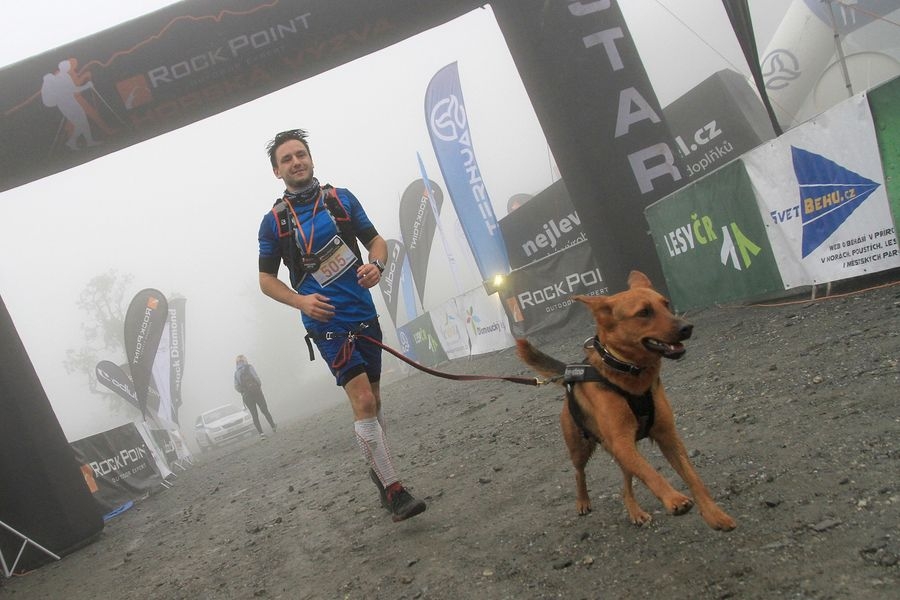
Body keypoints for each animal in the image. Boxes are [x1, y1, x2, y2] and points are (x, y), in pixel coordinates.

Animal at [516, 272, 736, 528]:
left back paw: (634, 510)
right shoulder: (622, 442)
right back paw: (583, 501)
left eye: (666, 304)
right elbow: (651, 473)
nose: (687, 327)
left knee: (626, 483)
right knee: (579, 473)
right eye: (644, 312)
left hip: (620, 450)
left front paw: (714, 514)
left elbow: (693, 478)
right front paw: (674, 499)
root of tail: (569, 372)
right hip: (582, 447)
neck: (630, 372)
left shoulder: (667, 437)